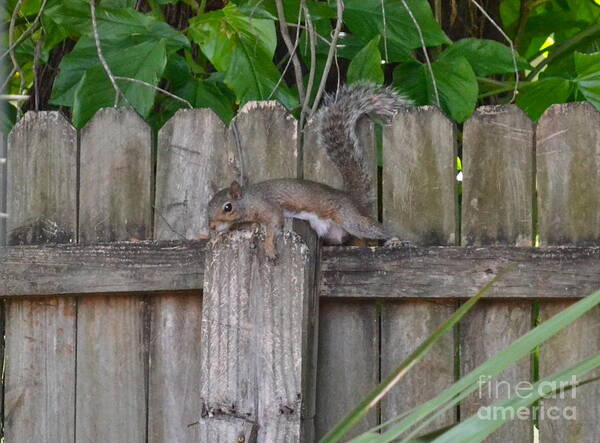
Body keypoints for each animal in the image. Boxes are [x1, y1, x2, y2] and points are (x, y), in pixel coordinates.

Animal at [207, 83, 412, 260]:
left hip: (349, 218)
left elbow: (274, 224)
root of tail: (350, 197)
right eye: (208, 207)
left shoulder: (268, 206)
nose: (212, 227)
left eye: (228, 207)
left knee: (371, 229)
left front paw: (269, 247)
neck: (248, 200)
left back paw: (395, 239)